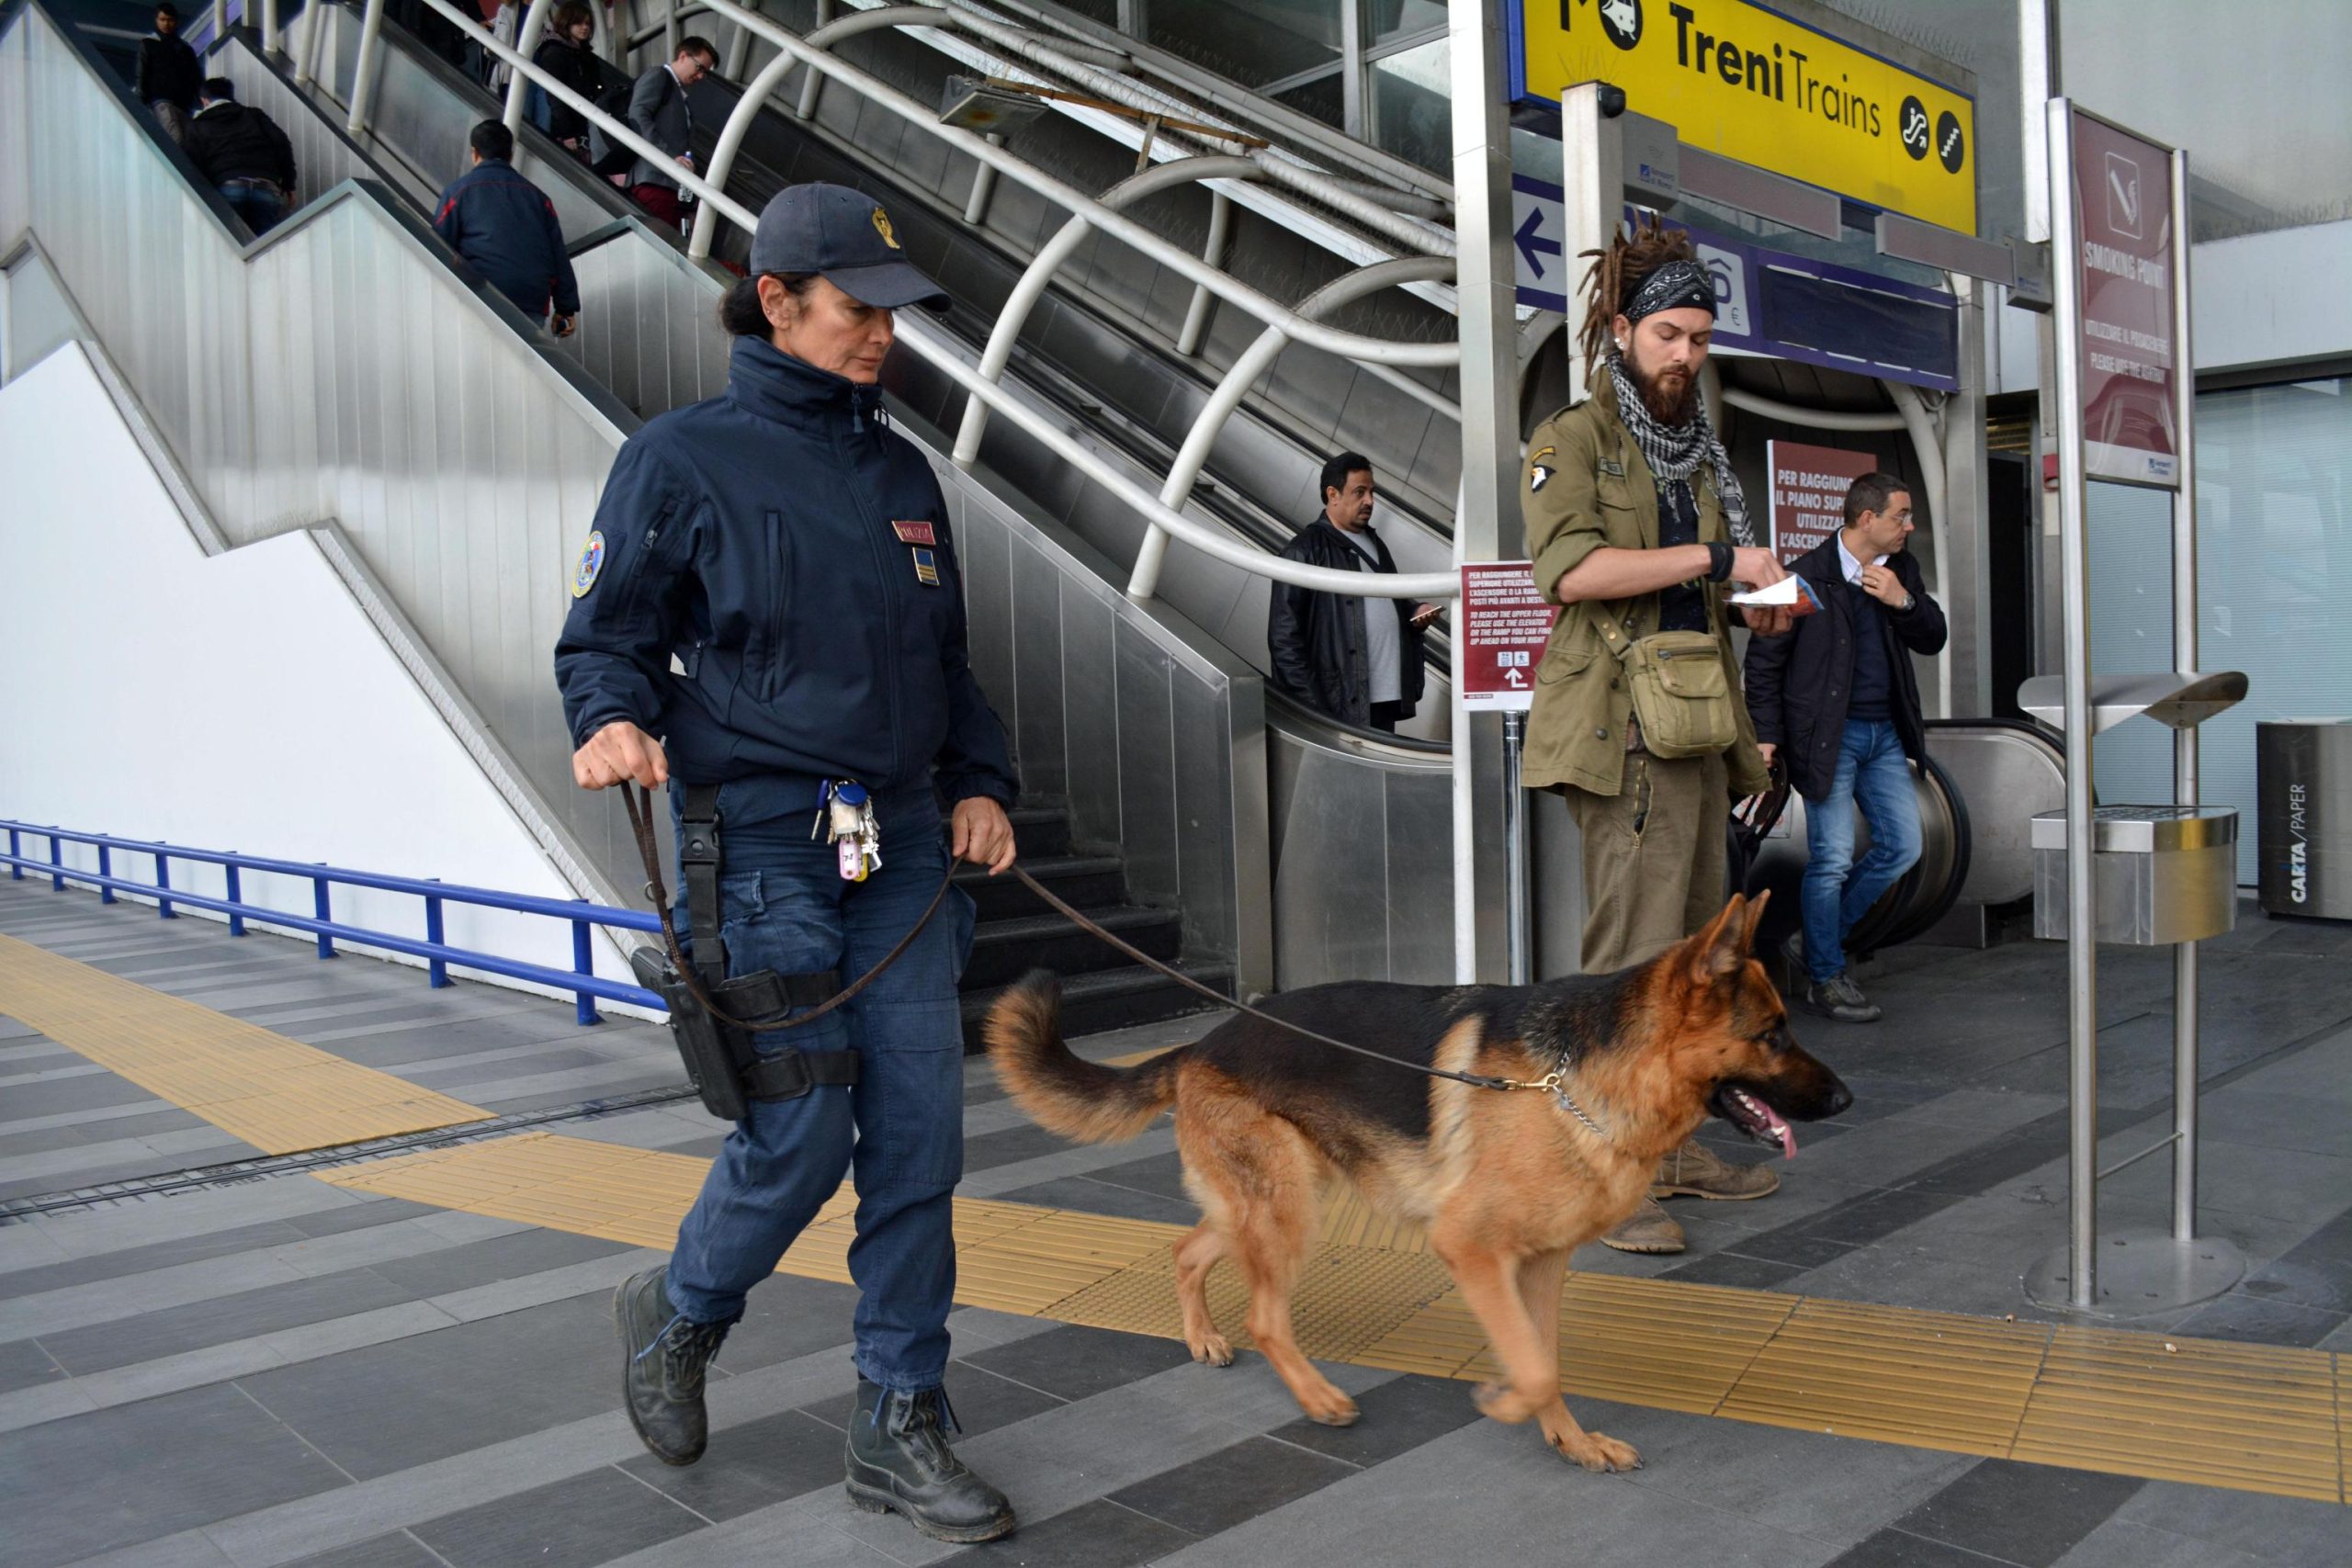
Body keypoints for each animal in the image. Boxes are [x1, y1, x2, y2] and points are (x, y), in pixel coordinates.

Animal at [985, 892, 1850, 1472]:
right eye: (1773, 1035)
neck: (1574, 1081)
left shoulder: (1541, 1265)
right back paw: (1316, 1396)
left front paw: (1569, 1439)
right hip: (1288, 1210)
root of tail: (1201, 1043)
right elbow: (1532, 1365)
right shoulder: (1471, 1249)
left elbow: (1547, 1358)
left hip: (1266, 1202)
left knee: (1187, 1249)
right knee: (1264, 1313)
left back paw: (1201, 1335)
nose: (1846, 1099)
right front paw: (1508, 1402)